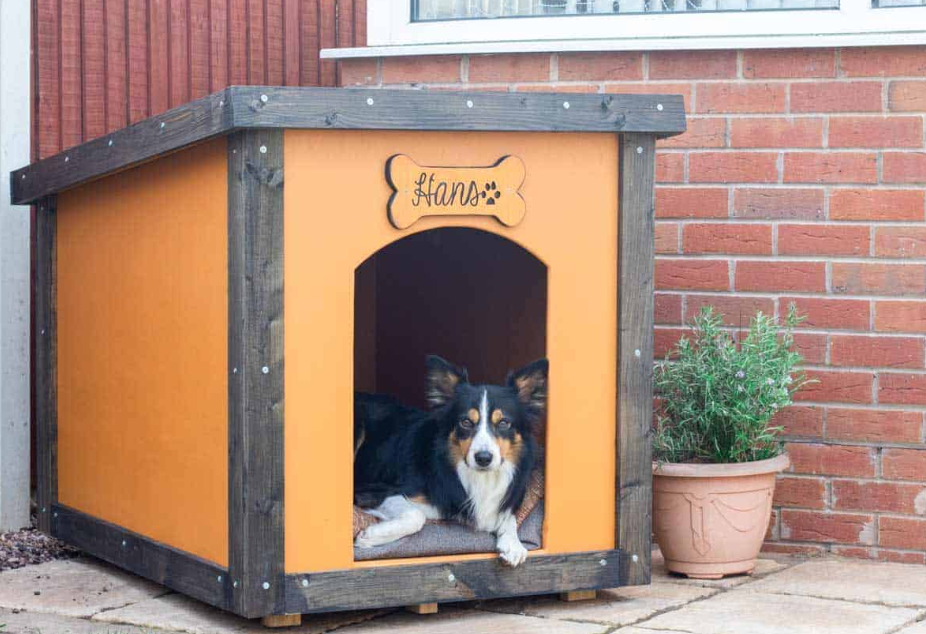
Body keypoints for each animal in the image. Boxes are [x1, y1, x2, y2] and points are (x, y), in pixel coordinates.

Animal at [352, 354, 548, 564]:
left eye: (504, 423)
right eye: (466, 422)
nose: (483, 458)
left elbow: (508, 514)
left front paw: (513, 543)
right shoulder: (374, 491)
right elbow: (416, 516)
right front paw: (370, 536)